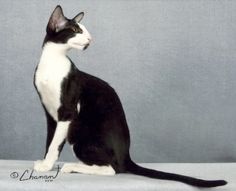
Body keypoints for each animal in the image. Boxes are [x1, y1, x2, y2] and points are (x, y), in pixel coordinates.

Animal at [33, 5, 227, 187]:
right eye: (76, 30)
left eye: (85, 30)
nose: (90, 39)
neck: (52, 63)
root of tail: (126, 156)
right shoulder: (50, 114)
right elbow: (50, 140)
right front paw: (45, 163)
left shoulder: (67, 113)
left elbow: (55, 144)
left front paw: (46, 165)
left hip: (80, 136)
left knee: (113, 168)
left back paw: (72, 166)